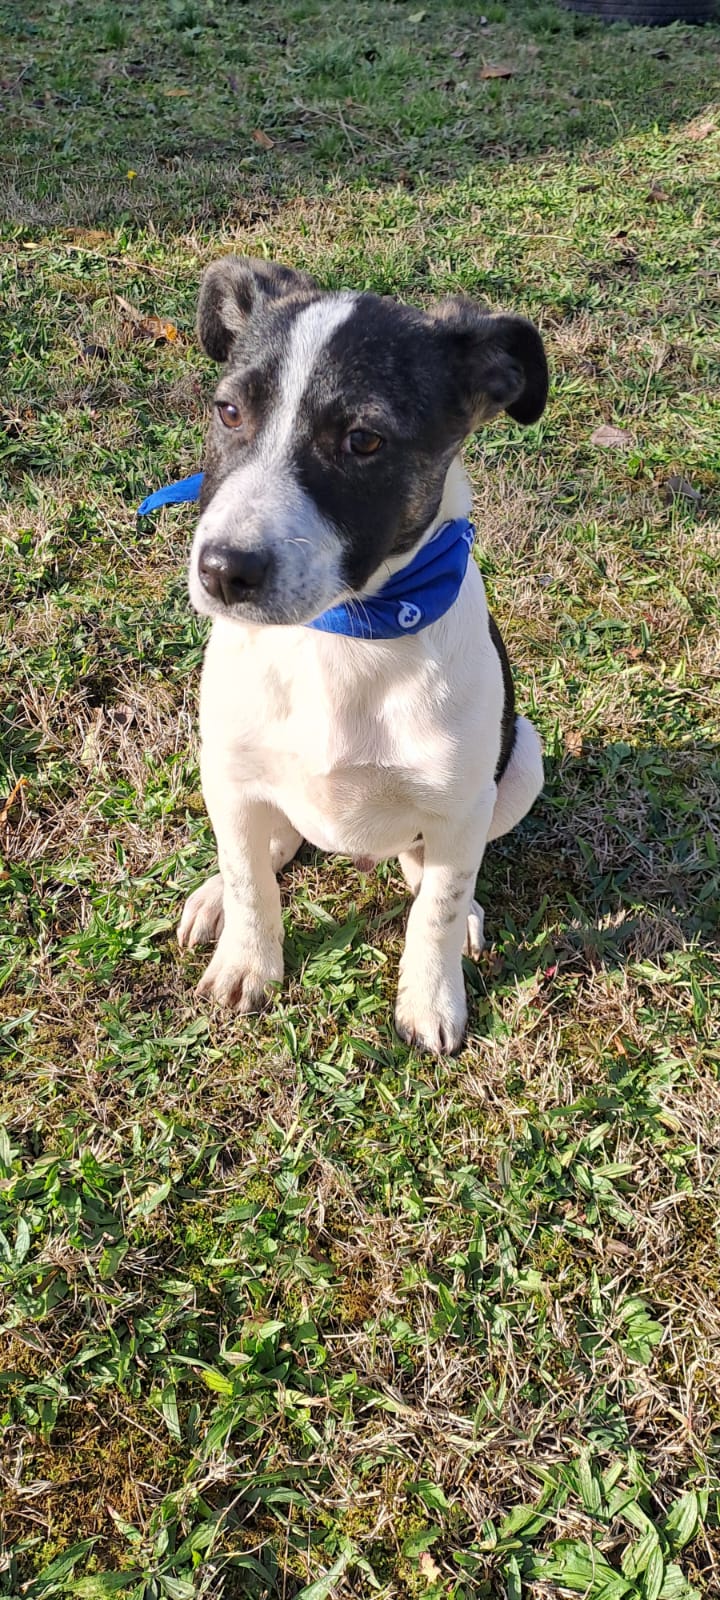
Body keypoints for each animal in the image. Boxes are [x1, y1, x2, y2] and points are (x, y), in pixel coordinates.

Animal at [177, 257, 547, 1054]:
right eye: (229, 412)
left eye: (364, 441)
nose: (222, 571)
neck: (342, 635)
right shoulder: (229, 767)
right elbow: (251, 878)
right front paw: (248, 961)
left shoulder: (460, 799)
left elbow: (437, 908)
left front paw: (431, 999)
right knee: (264, 847)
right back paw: (215, 896)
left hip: (520, 763)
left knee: (431, 870)